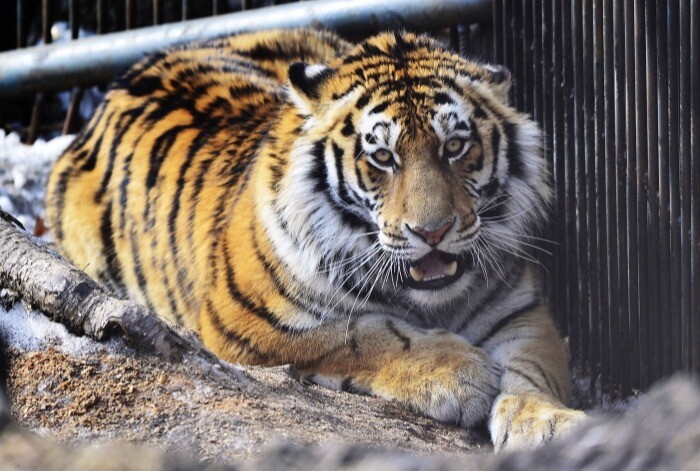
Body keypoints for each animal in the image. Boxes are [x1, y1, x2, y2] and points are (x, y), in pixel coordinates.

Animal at [46, 27, 584, 452]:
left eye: (455, 146)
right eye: (382, 157)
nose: (432, 232)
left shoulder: (521, 311)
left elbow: (534, 371)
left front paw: (548, 423)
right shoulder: (246, 323)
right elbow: (364, 334)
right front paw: (461, 373)